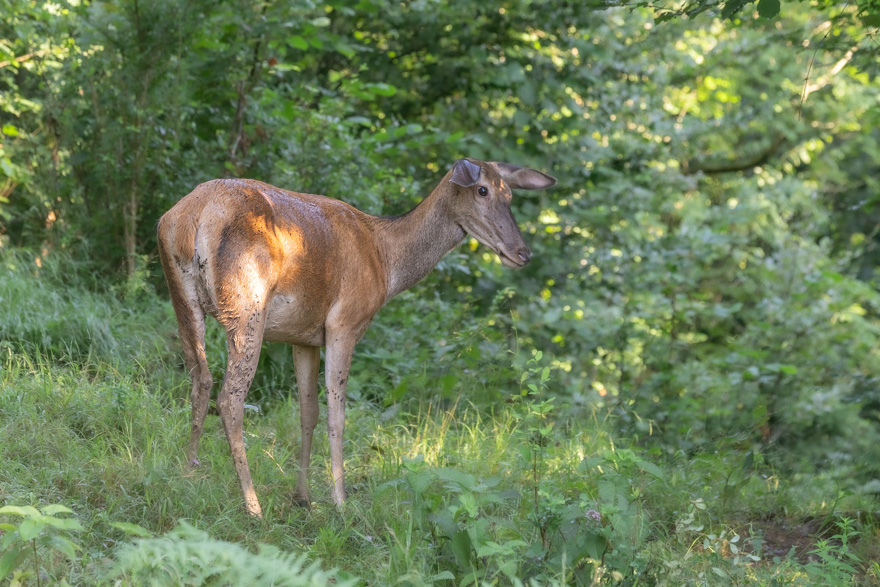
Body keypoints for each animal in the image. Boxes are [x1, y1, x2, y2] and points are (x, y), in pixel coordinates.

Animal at [158, 158, 556, 516]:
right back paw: (252, 506)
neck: (386, 258)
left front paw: (302, 497)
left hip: (181, 297)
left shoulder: (303, 336)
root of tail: (195, 216)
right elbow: (338, 415)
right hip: (247, 305)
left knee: (200, 380)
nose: (523, 253)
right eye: (482, 190)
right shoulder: (344, 322)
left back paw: (187, 473)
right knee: (230, 397)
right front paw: (340, 502)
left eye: (510, 195)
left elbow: (308, 412)